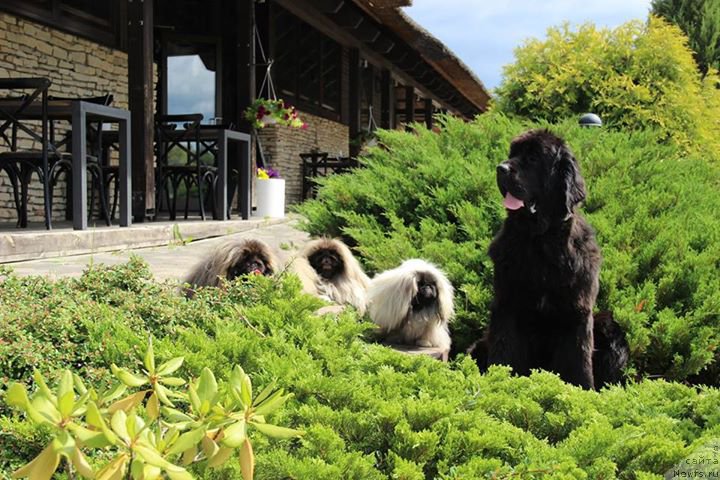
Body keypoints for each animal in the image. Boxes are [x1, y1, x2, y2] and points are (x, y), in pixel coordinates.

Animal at [484, 128, 600, 390]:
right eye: (512, 154)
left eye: (533, 158)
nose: (500, 168)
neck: (540, 243)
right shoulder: (507, 306)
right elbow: (503, 351)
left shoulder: (577, 314)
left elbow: (579, 361)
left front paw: (584, 391)